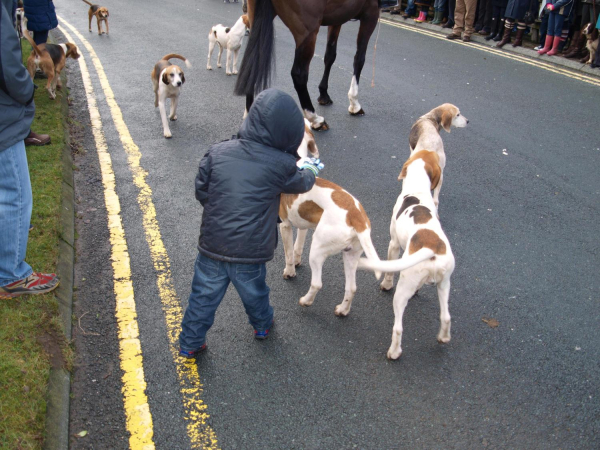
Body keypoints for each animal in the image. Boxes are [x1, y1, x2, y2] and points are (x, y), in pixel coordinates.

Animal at [234, 0, 380, 130]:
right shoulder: (370, 12)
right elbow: (359, 59)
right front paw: (354, 103)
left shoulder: (338, 17)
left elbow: (330, 56)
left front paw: (324, 94)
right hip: (307, 32)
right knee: (298, 74)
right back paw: (315, 119)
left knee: (252, 65)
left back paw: (249, 113)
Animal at [280, 120, 382, 316]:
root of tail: (357, 217)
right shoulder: (303, 226)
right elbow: (297, 248)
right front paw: (296, 262)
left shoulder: (284, 225)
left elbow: (288, 253)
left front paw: (289, 272)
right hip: (350, 256)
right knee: (352, 288)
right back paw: (342, 310)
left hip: (317, 250)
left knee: (317, 283)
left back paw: (306, 301)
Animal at [360, 150, 454, 358]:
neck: (417, 190)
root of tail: (432, 250)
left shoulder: (393, 244)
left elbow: (389, 273)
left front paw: (386, 284)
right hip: (444, 284)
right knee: (446, 317)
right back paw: (443, 338)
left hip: (402, 292)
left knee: (398, 328)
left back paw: (394, 352)